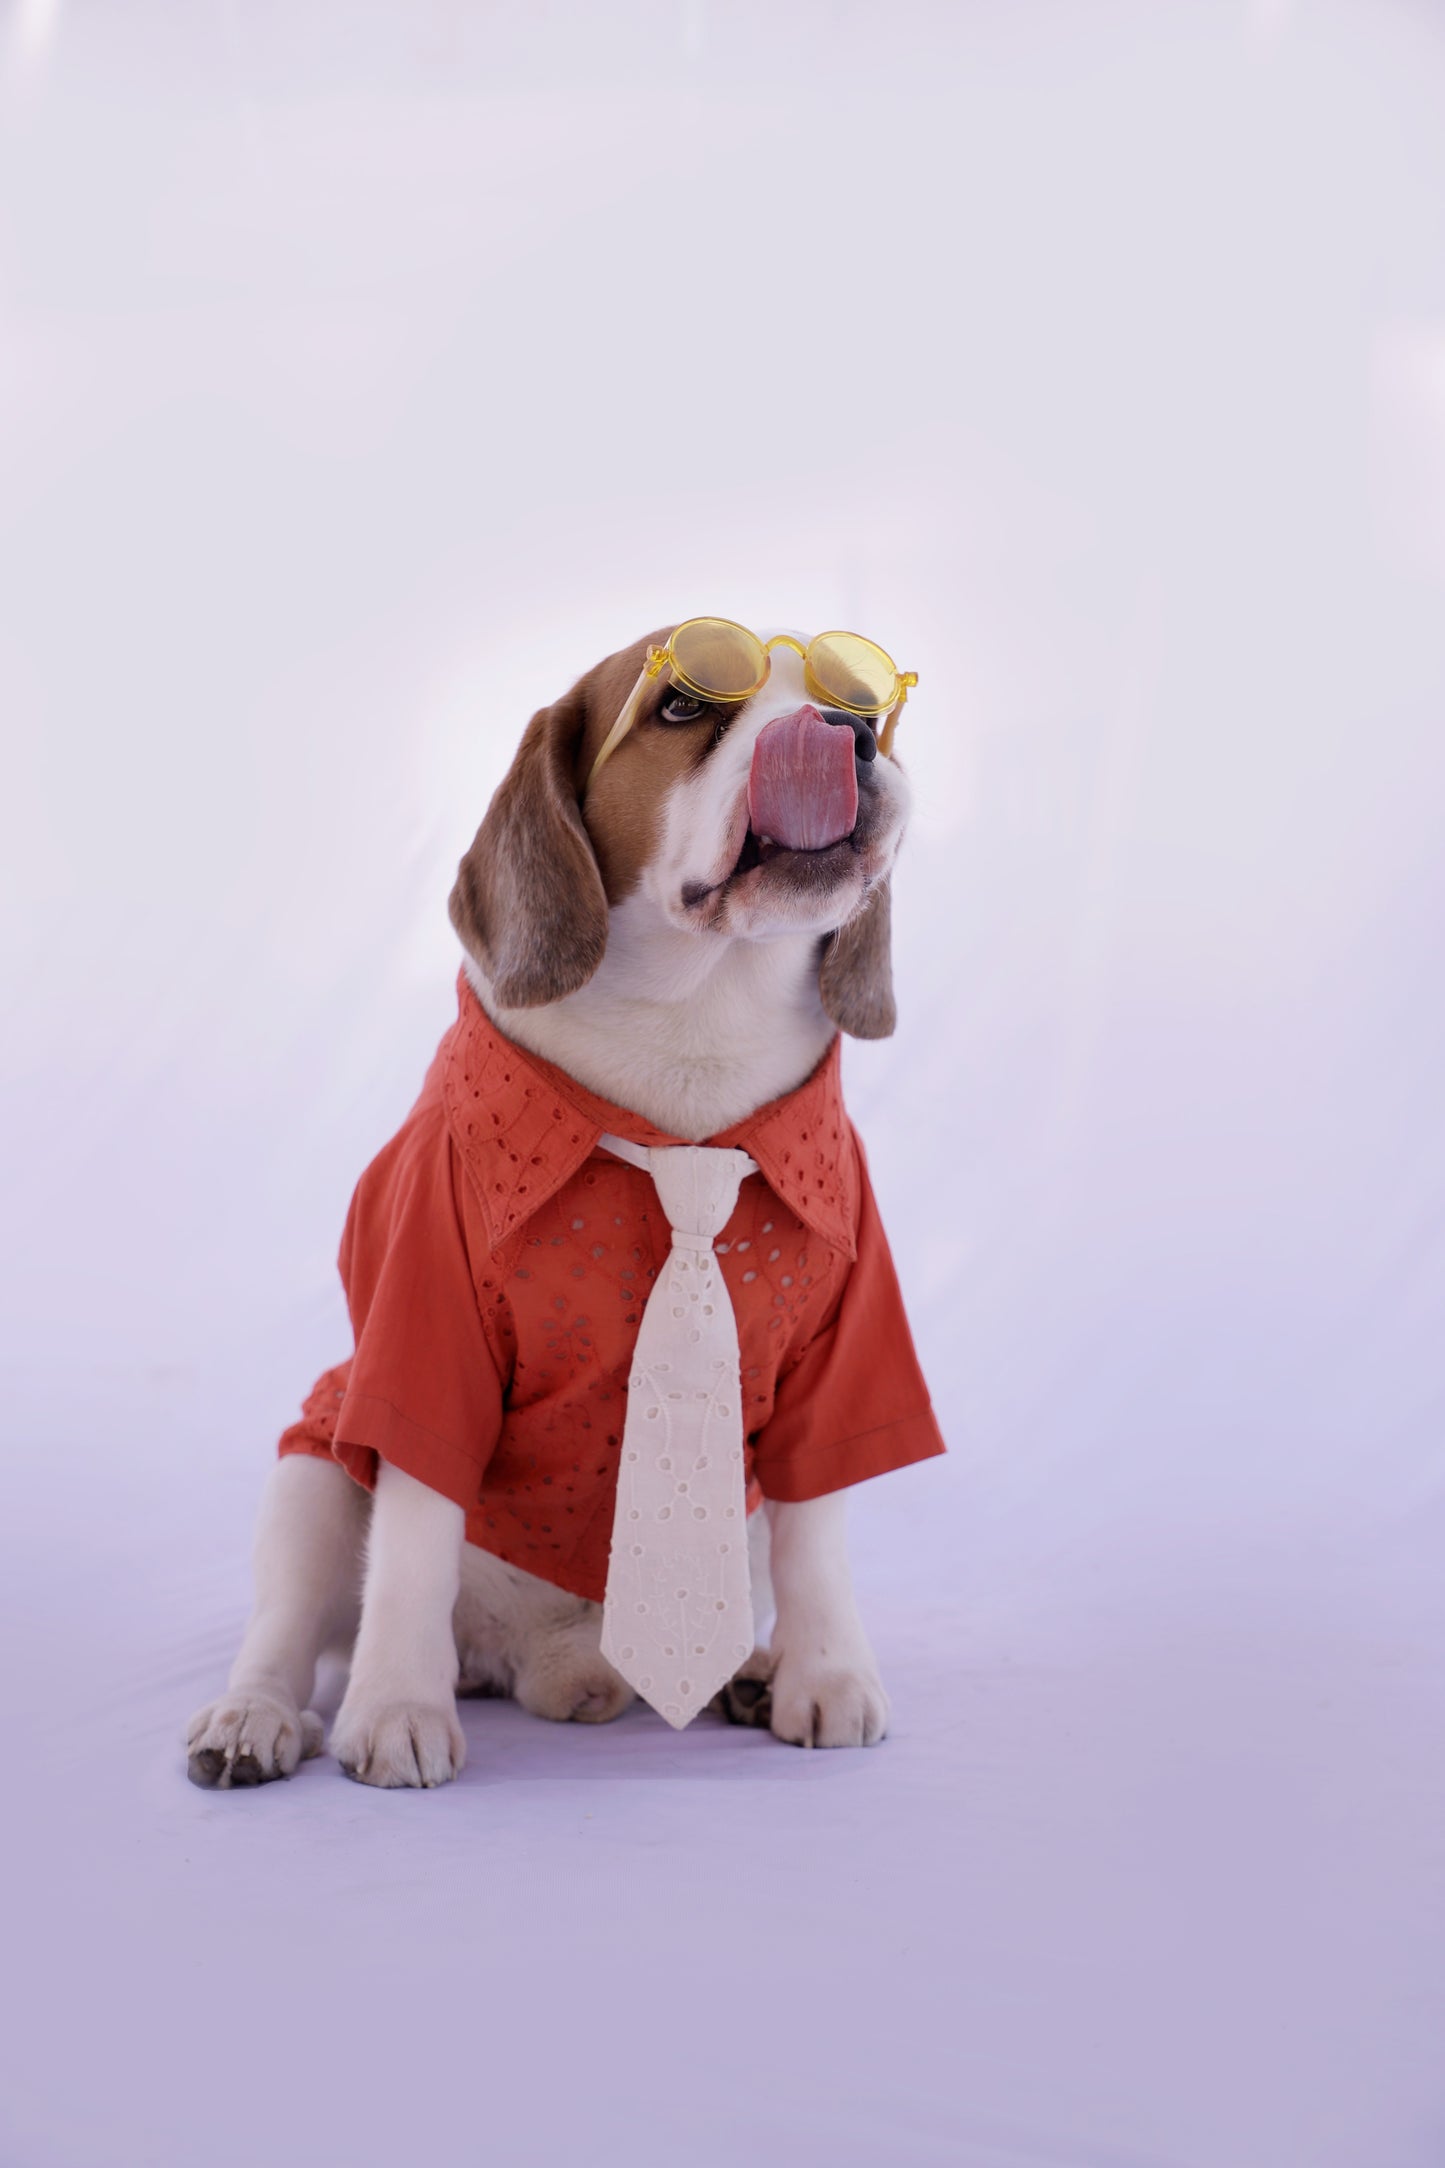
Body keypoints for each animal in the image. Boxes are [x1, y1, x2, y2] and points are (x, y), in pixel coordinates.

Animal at [186, 620, 944, 1786]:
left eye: (858, 696)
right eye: (682, 704)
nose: (843, 732)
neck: (691, 1050)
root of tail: (535, 1657)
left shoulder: (841, 1348)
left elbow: (816, 1533)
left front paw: (824, 1675)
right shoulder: (425, 1335)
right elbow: (412, 1541)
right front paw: (393, 1709)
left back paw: (750, 1668)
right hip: (311, 1474)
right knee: (292, 1625)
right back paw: (258, 1717)